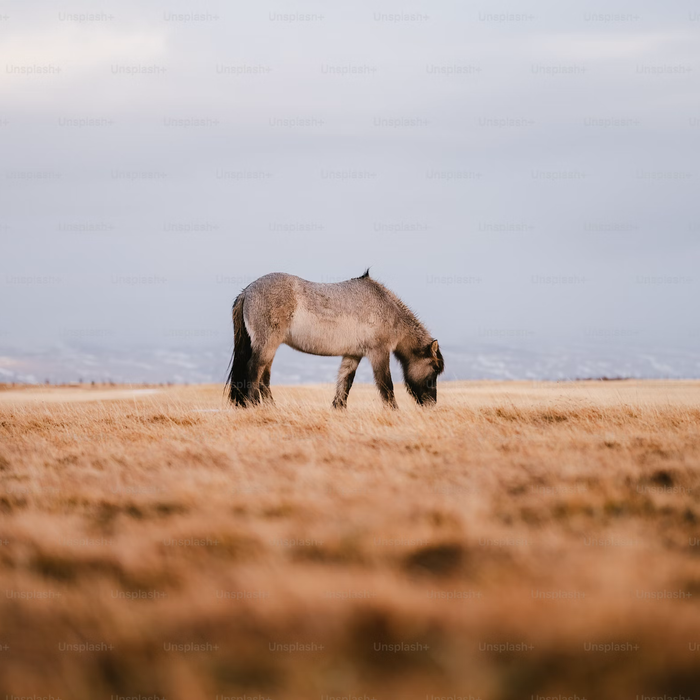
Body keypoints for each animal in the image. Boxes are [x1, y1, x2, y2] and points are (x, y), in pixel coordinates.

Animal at [225, 270, 444, 408]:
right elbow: (386, 385)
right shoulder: (379, 353)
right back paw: (255, 405)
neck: (387, 308)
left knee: (264, 377)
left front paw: (338, 408)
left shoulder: (353, 355)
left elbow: (345, 383)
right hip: (267, 345)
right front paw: (394, 411)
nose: (431, 404)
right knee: (254, 371)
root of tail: (247, 291)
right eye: (434, 370)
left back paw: (271, 408)